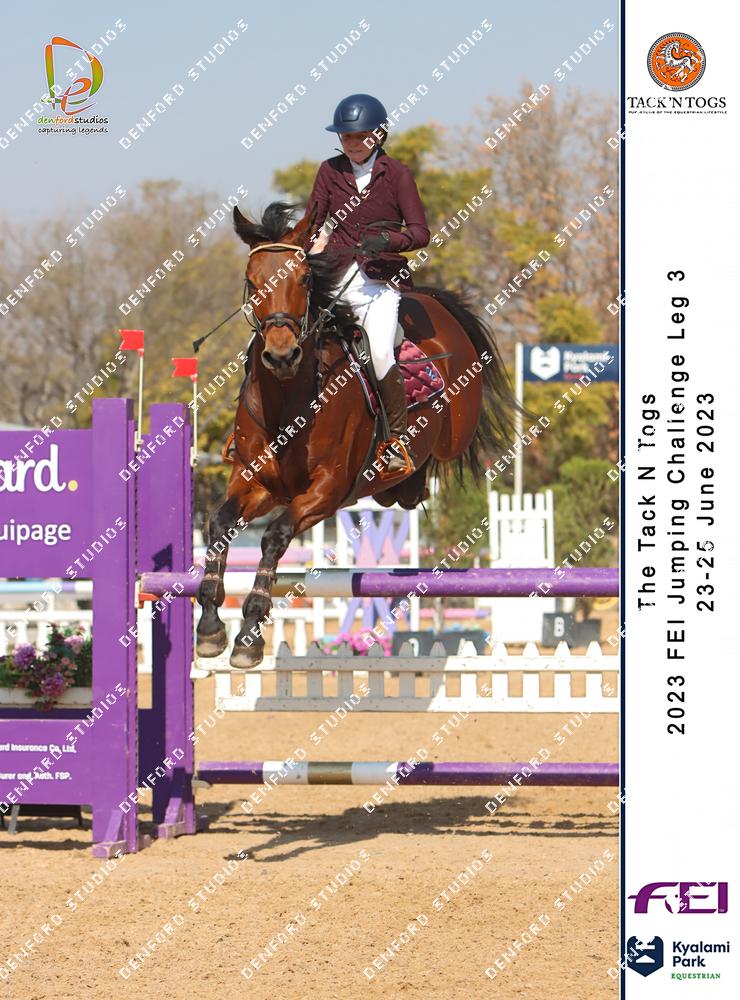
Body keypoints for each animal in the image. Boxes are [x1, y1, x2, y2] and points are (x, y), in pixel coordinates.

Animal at [196, 202, 518, 668]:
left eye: (304, 278)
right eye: (251, 280)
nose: (281, 355)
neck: (288, 398)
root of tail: (433, 301)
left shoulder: (326, 491)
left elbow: (274, 536)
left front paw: (250, 634)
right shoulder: (256, 484)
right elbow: (219, 524)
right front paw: (209, 626)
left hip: (454, 430)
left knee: (441, 452)